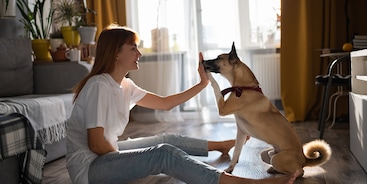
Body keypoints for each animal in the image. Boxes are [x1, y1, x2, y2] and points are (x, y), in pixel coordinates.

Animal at [203, 42, 332, 177]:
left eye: (218, 58)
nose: (203, 62)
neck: (245, 87)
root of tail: (304, 159)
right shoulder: (241, 133)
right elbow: (236, 153)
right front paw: (230, 169)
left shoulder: (222, 109)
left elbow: (216, 86)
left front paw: (208, 75)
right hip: (268, 153)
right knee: (271, 158)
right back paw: (273, 169)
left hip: (277, 159)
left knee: (299, 171)